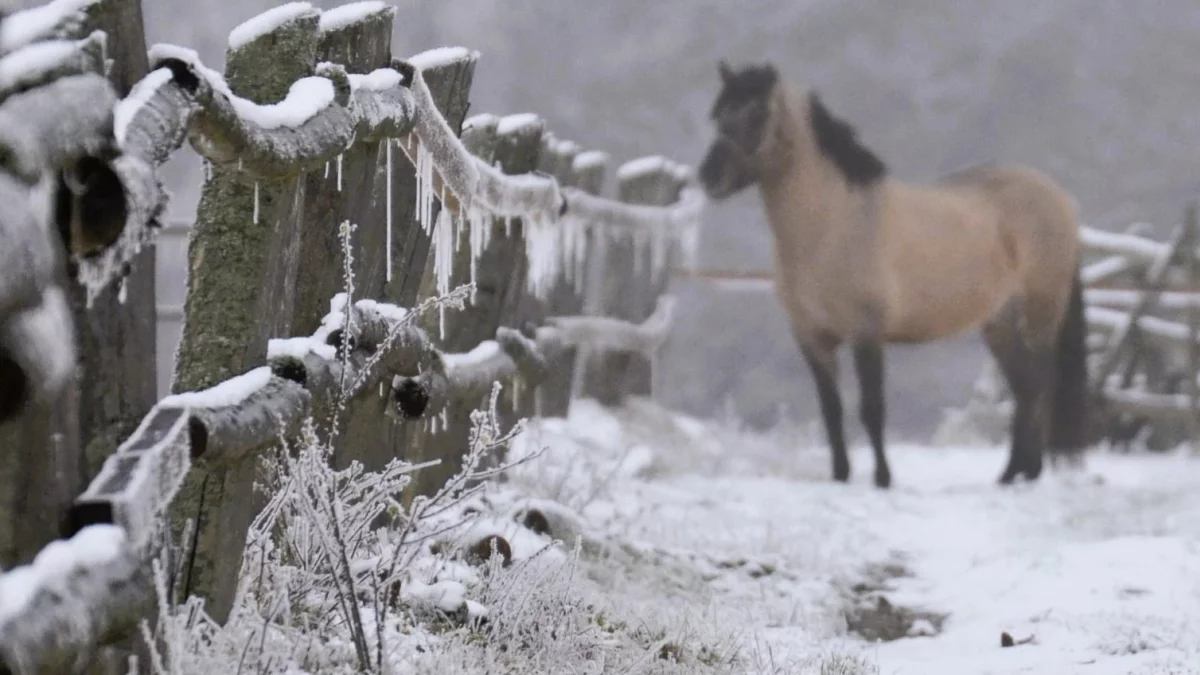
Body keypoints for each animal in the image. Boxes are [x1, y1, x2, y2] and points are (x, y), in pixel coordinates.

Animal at [700, 60, 1094, 485]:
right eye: (719, 115)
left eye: (758, 114)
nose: (709, 176)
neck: (833, 224)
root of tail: (1060, 198)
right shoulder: (812, 339)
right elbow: (832, 412)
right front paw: (841, 476)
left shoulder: (866, 333)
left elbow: (872, 409)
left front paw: (882, 480)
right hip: (1000, 323)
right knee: (1023, 387)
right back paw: (1010, 474)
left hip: (1041, 313)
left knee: (1040, 384)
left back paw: (1031, 471)